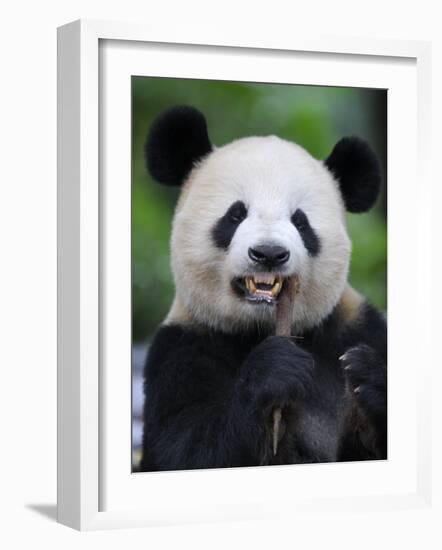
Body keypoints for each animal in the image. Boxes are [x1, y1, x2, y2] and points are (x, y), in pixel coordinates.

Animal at [139, 105, 386, 472]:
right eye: (235, 214)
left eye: (301, 222)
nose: (269, 254)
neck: (259, 328)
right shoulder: (182, 350)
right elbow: (184, 450)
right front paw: (275, 368)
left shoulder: (357, 327)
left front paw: (367, 374)